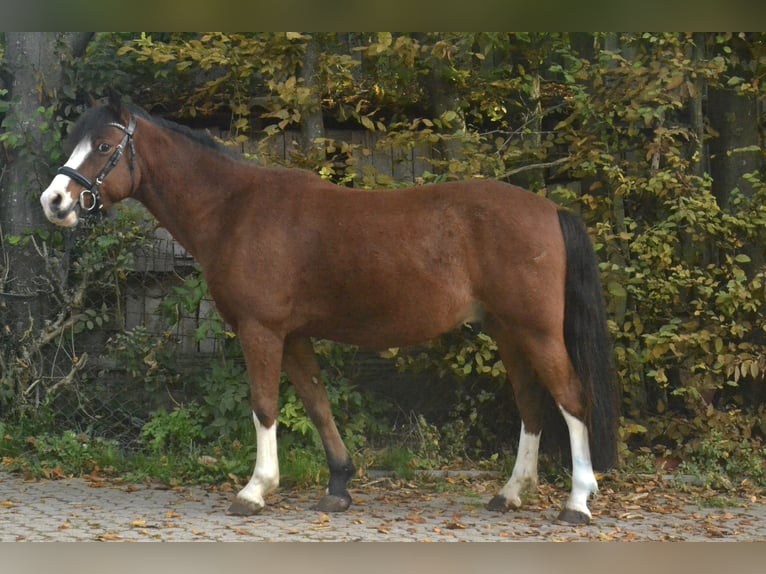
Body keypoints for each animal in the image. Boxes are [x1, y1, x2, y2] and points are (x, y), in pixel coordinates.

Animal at [40, 94, 616, 528]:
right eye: (73, 144)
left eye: (105, 146)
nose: (54, 202)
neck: (234, 209)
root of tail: (551, 209)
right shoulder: (294, 335)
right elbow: (318, 404)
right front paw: (339, 484)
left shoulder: (261, 331)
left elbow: (265, 404)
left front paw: (255, 490)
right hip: (507, 332)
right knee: (531, 404)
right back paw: (511, 493)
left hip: (537, 332)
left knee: (572, 400)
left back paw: (577, 502)